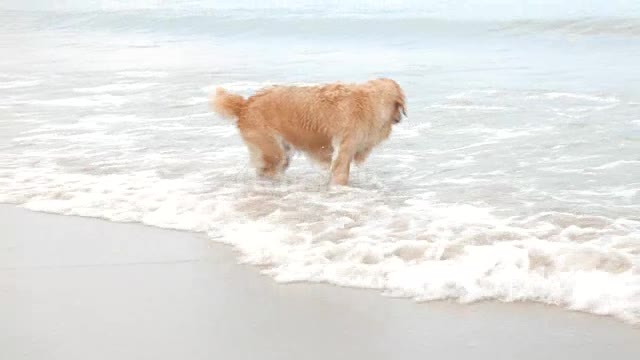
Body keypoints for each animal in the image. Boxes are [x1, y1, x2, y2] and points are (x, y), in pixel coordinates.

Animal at [212, 78, 408, 186]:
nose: (400, 118)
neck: (368, 101)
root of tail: (244, 104)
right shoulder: (344, 150)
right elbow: (340, 175)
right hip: (272, 151)